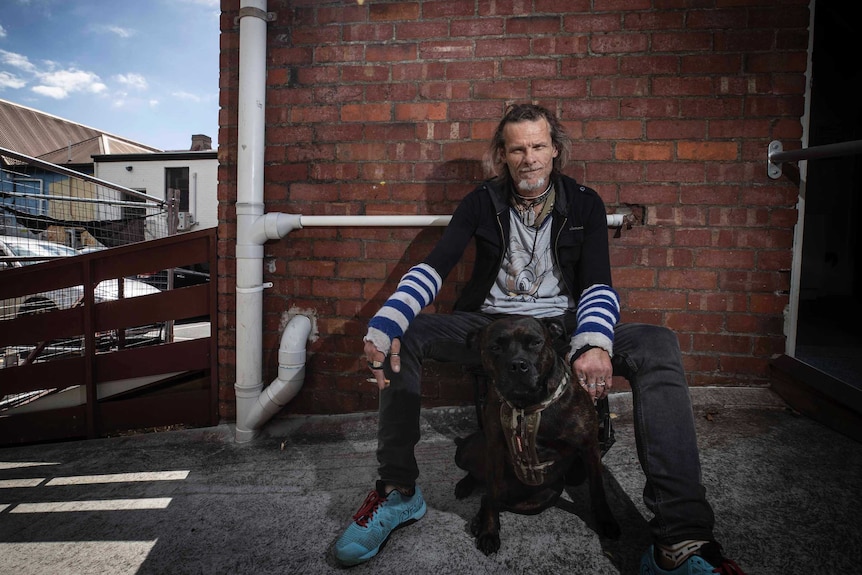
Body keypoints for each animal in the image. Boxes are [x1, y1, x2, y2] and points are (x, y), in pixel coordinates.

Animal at [456, 318, 616, 556]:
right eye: (495, 347)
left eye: (536, 342)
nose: (517, 365)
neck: (526, 403)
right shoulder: (493, 449)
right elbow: (491, 496)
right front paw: (489, 532)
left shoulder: (590, 448)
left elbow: (597, 490)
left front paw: (606, 521)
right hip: (471, 452)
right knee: (486, 490)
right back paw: (468, 492)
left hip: (544, 496)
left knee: (495, 499)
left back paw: (477, 518)